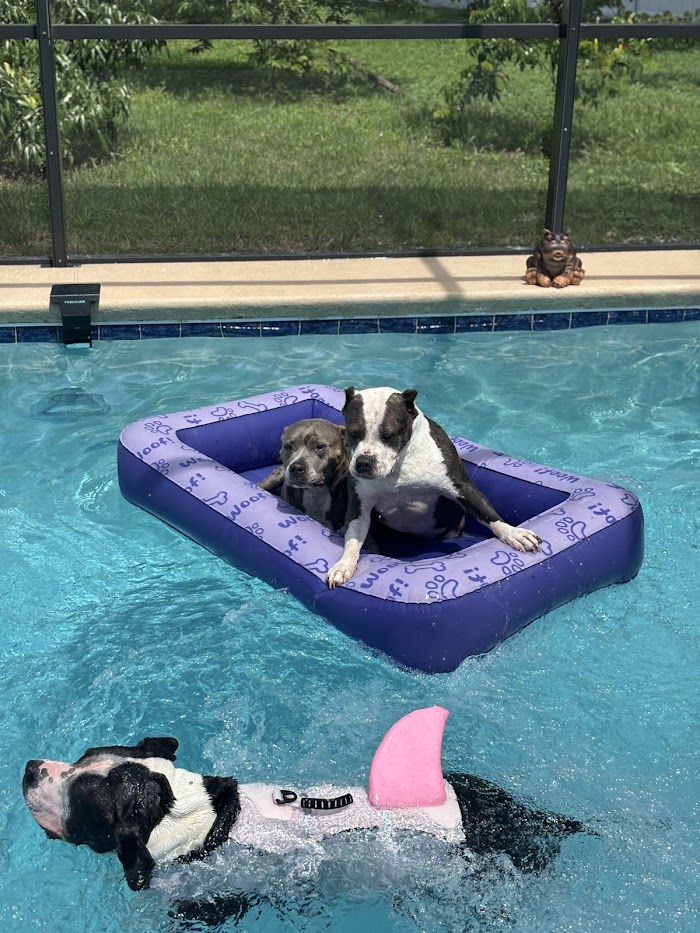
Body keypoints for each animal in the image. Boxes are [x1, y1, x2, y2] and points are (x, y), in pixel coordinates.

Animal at [327, 387, 541, 587]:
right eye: (353, 433)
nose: (364, 462)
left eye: (388, 436)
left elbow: (488, 515)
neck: (399, 467)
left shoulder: (464, 489)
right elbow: (353, 539)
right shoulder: (359, 507)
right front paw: (344, 565)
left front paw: (513, 533)